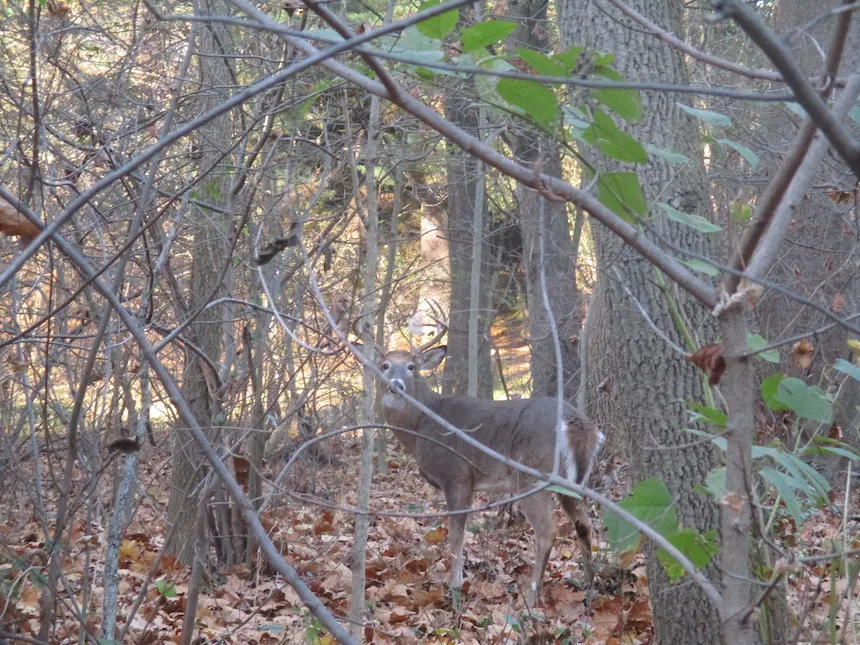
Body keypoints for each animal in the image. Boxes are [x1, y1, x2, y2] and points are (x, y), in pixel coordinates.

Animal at [377, 339, 604, 606]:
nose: (396, 385)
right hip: (572, 482)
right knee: (583, 524)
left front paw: (455, 587)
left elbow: (456, 535)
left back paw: (530, 597)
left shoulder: (457, 475)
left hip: (532, 476)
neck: (421, 425)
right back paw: (588, 585)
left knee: (547, 531)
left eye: (411, 366)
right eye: (385, 365)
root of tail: (578, 423)